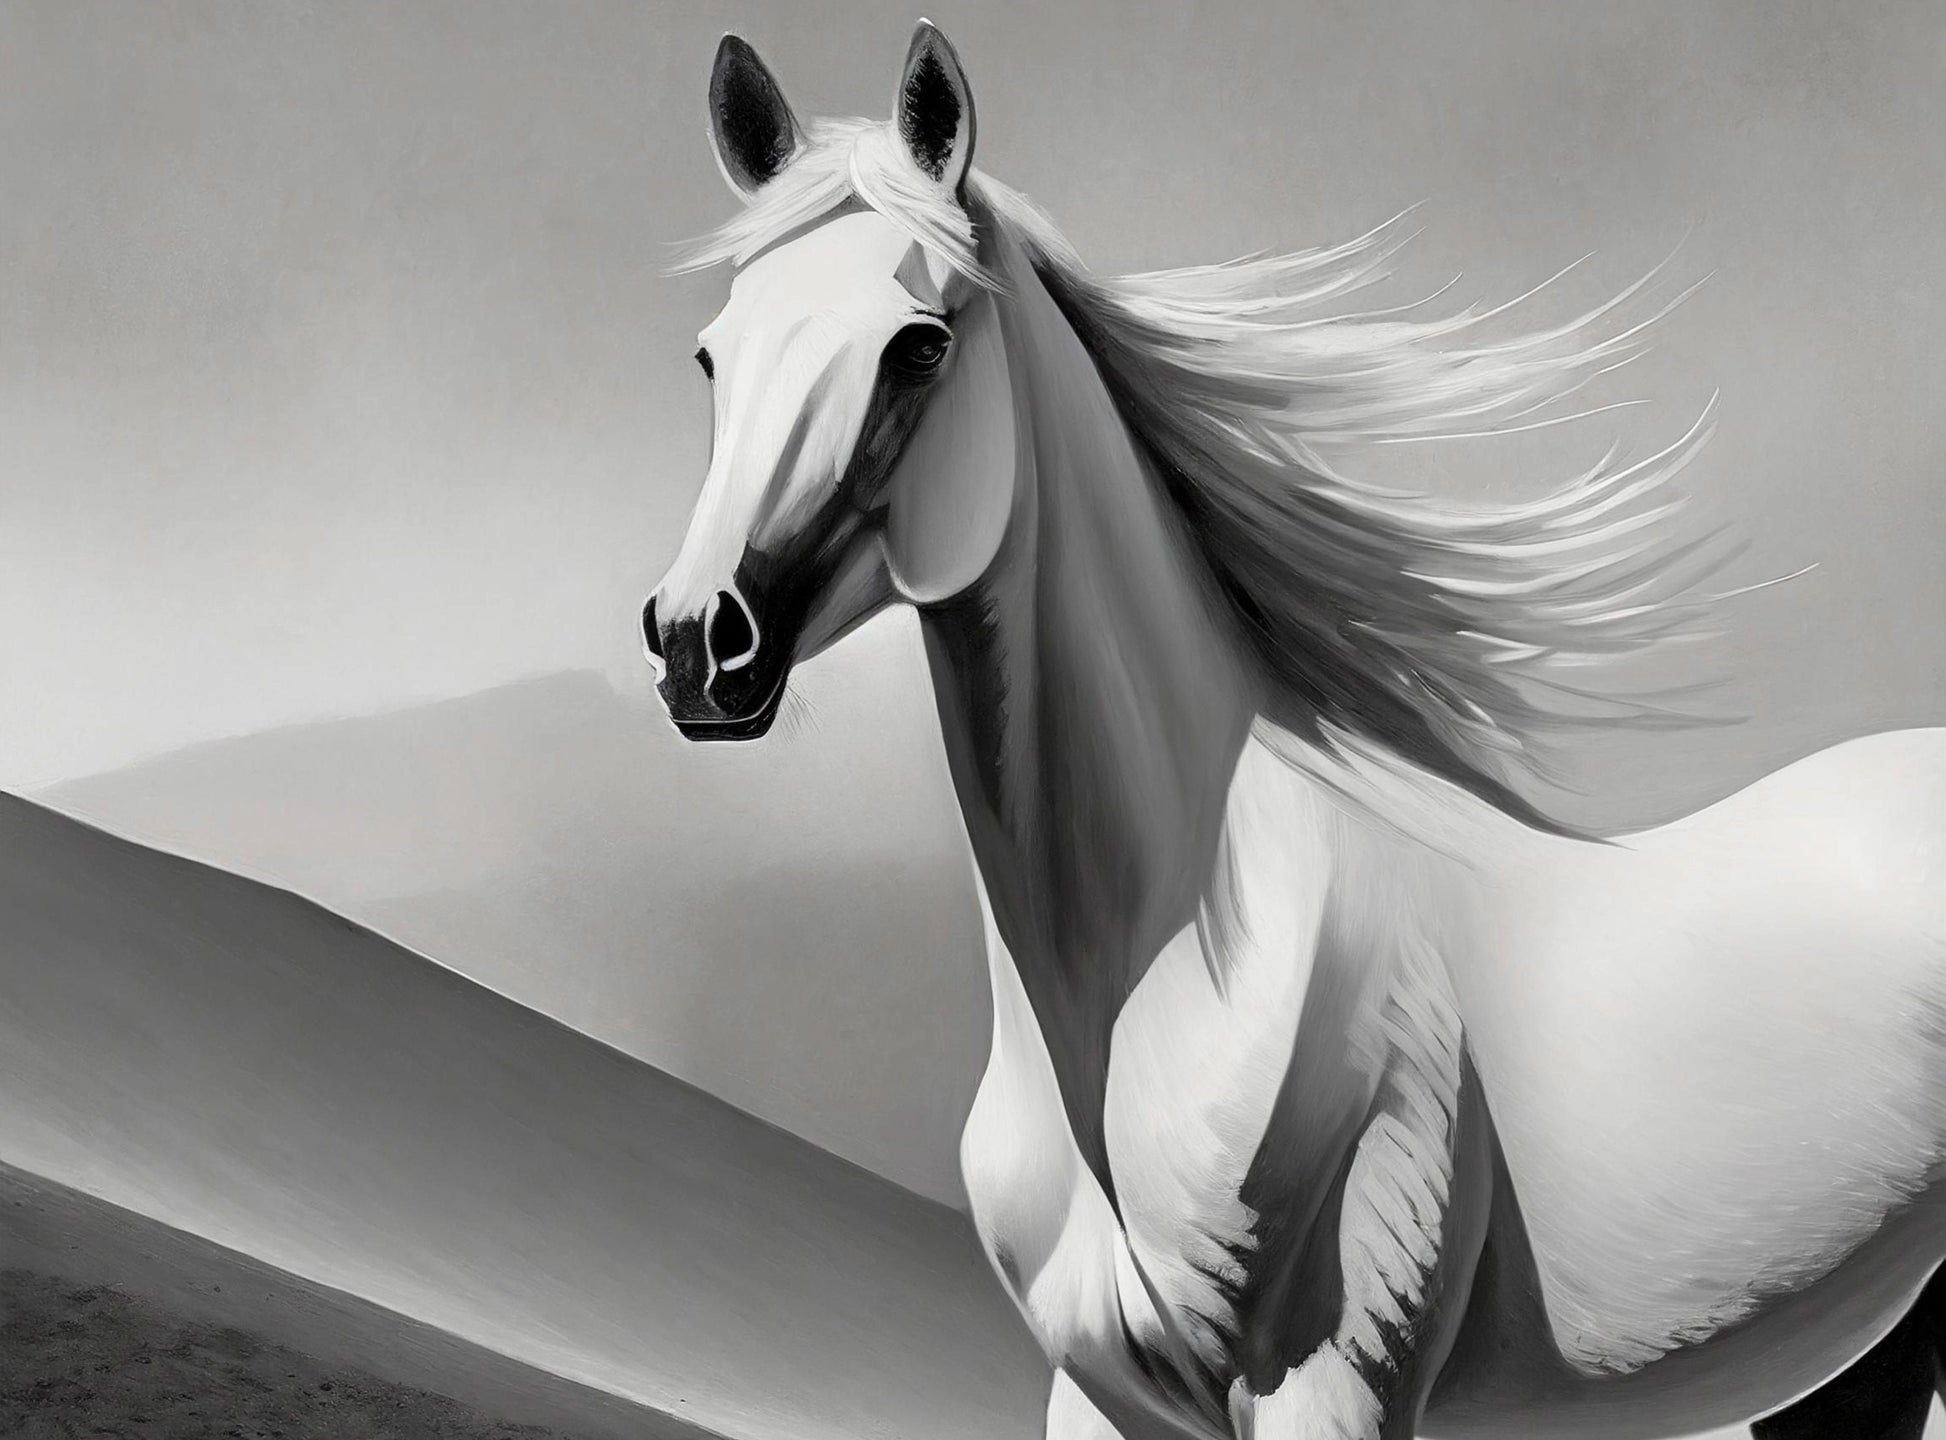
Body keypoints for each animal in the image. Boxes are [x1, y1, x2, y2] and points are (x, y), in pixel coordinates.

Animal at [642, 23, 1946, 1440]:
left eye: (917, 348)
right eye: (712, 353)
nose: (696, 644)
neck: (1178, 976)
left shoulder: (1327, 1388)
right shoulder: (1093, 1399)